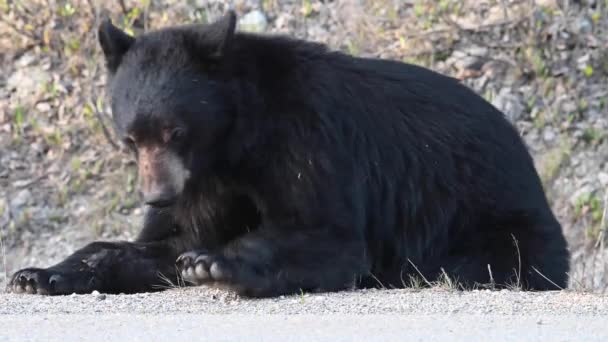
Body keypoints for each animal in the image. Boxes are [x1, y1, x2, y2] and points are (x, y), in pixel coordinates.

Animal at [7, 11, 568, 296]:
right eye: (131, 138)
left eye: (175, 131)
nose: (157, 196)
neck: (233, 139)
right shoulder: (205, 181)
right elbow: (164, 242)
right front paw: (40, 273)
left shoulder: (305, 136)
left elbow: (323, 234)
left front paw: (214, 264)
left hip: (491, 217)